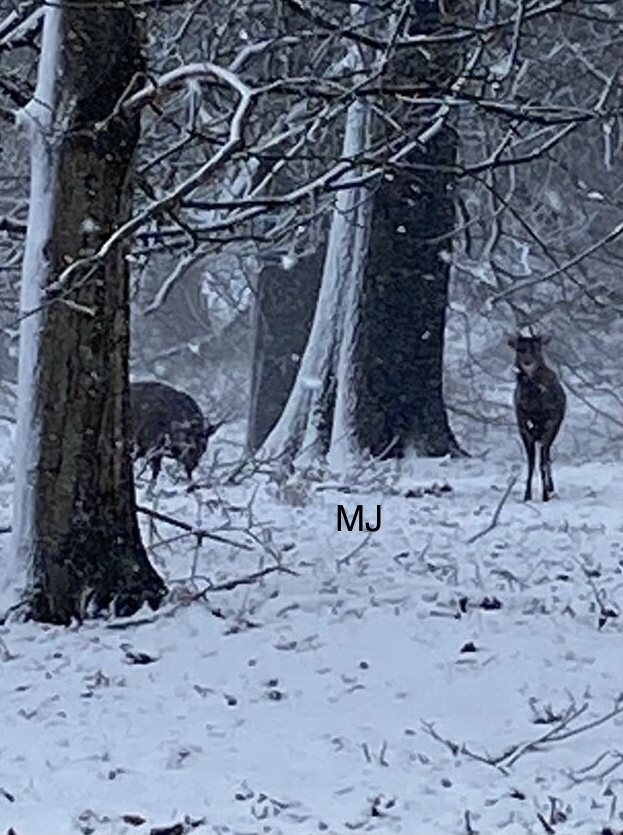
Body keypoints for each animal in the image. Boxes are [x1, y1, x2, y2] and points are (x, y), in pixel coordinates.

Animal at [508, 329, 566, 502]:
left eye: (537, 348)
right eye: (519, 349)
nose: (527, 361)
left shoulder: (550, 421)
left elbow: (541, 461)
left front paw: (545, 495)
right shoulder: (521, 423)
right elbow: (531, 462)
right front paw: (527, 495)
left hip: (555, 426)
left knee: (546, 455)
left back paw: (550, 489)